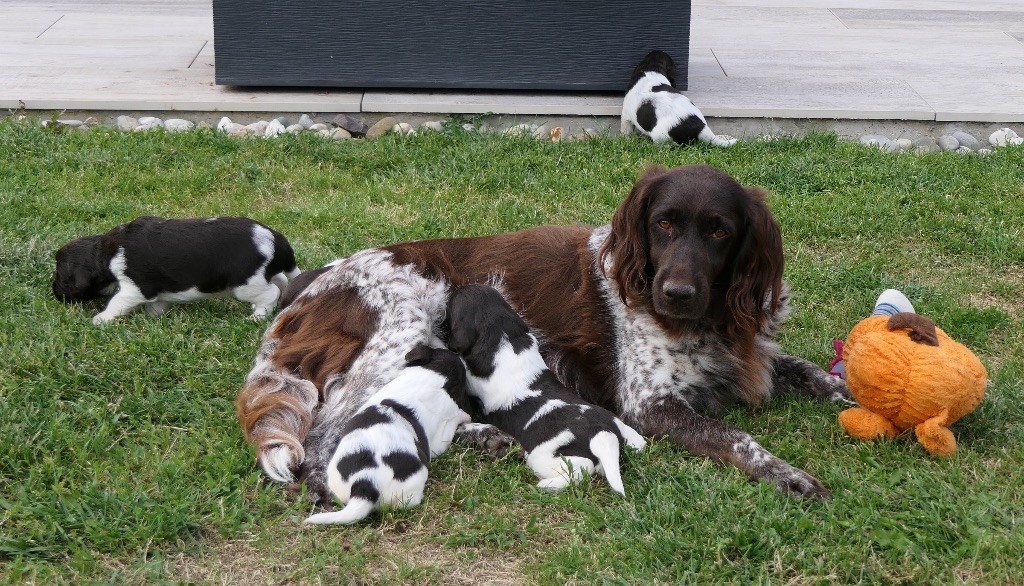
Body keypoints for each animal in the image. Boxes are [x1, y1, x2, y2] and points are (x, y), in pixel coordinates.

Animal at [51, 216, 299, 325]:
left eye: (62, 278)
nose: (54, 293)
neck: (106, 252)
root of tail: (276, 239)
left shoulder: (135, 289)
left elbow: (117, 303)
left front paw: (101, 319)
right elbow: (158, 304)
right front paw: (153, 317)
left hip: (246, 284)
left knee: (271, 293)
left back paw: (257, 316)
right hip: (264, 275)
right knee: (281, 281)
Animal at [303, 344, 471, 524]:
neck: (434, 376)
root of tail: (366, 482)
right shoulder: (439, 439)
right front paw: (465, 416)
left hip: (337, 482)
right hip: (411, 487)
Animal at [448, 284, 647, 493]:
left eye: (454, 302)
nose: (461, 286)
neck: (503, 336)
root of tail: (602, 432)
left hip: (543, 458)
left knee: (581, 469)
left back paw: (547, 484)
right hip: (623, 428)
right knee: (638, 443)